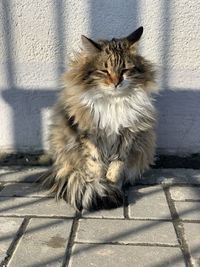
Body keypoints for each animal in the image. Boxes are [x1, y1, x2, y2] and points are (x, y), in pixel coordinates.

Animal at [41, 26, 158, 211]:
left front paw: (112, 187)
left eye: (125, 71)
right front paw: (100, 187)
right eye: (104, 71)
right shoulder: (88, 134)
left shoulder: (127, 134)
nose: (116, 83)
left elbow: (116, 168)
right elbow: (96, 165)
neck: (113, 101)